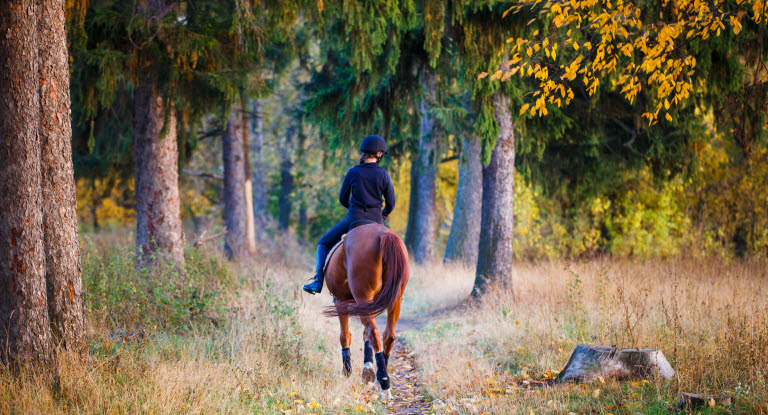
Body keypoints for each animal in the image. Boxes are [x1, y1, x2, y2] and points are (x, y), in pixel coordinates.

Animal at [322, 224, 412, 404]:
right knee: (388, 335)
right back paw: (379, 380)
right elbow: (364, 336)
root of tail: (383, 234)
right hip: (394, 299)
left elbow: (345, 336)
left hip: (362, 296)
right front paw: (368, 370)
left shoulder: (340, 301)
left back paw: (384, 384)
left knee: (374, 334)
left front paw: (347, 371)